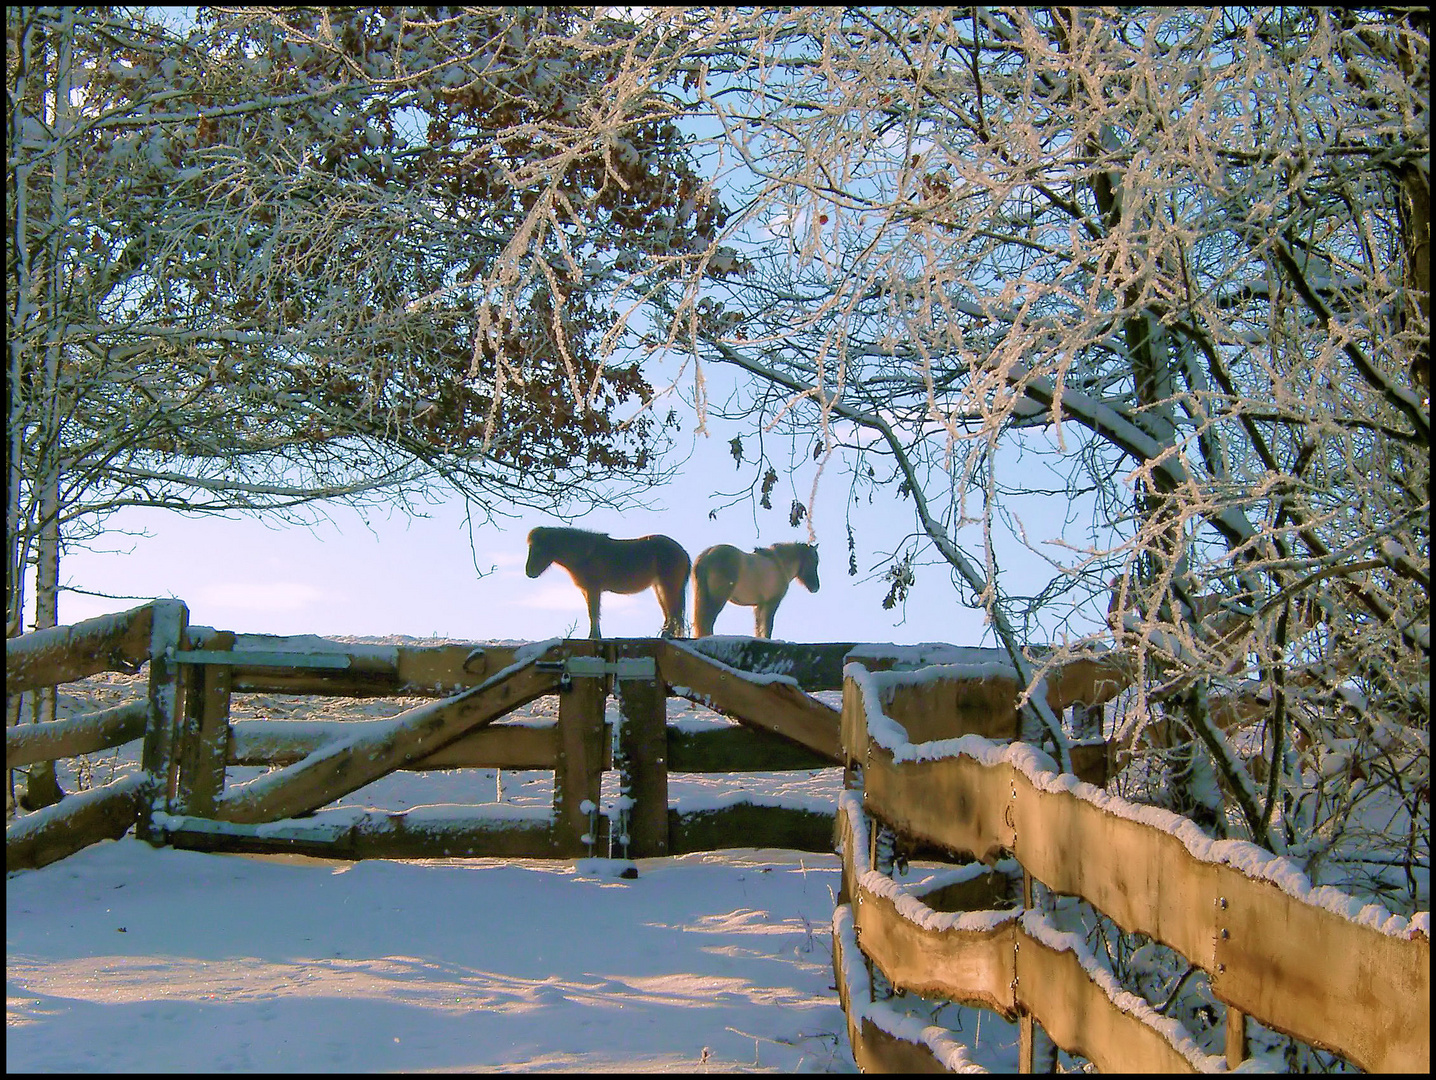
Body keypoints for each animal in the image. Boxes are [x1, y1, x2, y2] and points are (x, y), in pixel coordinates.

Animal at [525, 525, 692, 637]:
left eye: (538, 548)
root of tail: (682, 552)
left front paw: (593, 637)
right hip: (659, 588)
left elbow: (593, 613)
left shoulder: (593, 589)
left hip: (668, 586)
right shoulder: (587, 591)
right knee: (670, 615)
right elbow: (592, 614)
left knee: (674, 614)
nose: (529, 572)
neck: (586, 554)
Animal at [692, 542, 821, 637]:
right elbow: (767, 628)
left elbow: (758, 629)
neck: (779, 564)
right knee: (707, 621)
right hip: (717, 599)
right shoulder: (771, 603)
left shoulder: (758, 606)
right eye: (814, 561)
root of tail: (706, 555)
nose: (816, 587)